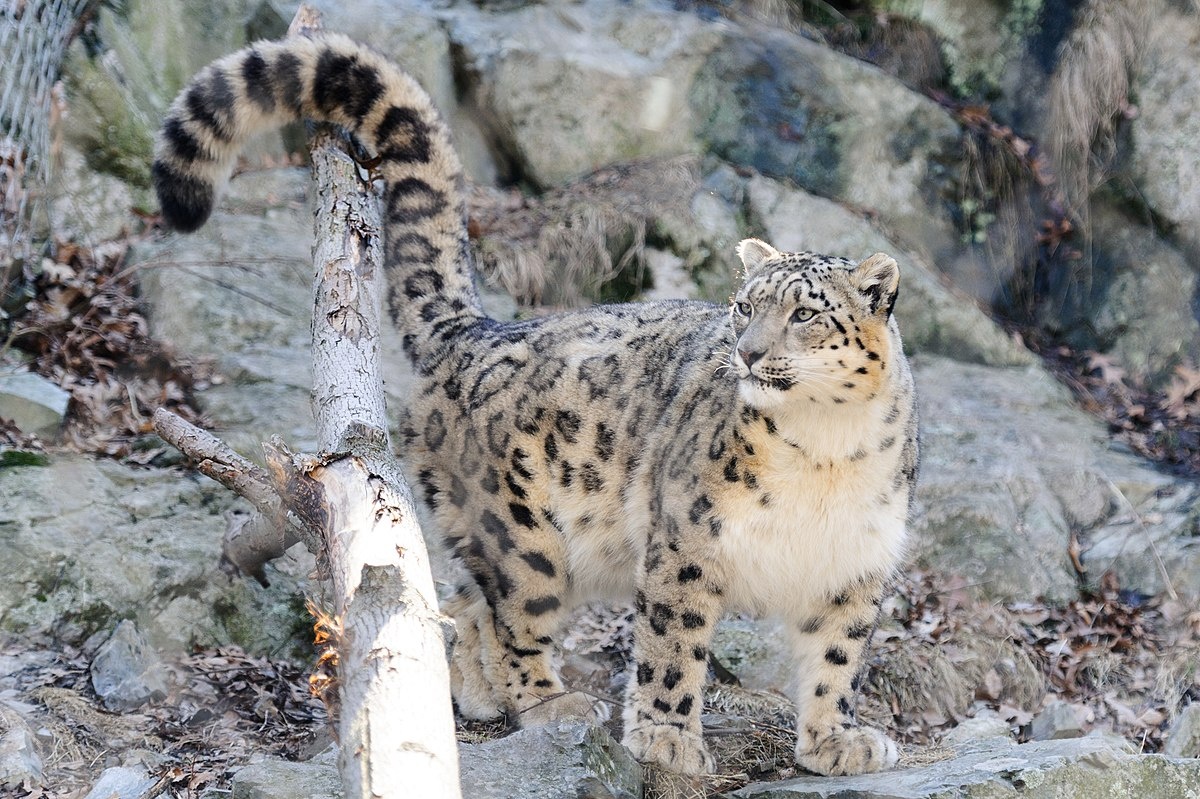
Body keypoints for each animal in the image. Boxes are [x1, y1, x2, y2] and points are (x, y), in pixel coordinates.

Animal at [153, 33, 918, 777]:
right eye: (743, 306)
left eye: (804, 314)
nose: (751, 352)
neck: (822, 451)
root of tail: (477, 330)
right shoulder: (687, 542)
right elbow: (672, 647)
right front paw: (667, 737)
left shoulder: (856, 565)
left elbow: (838, 658)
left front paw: (836, 740)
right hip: (524, 533)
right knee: (514, 613)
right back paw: (550, 702)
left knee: (466, 601)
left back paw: (476, 691)